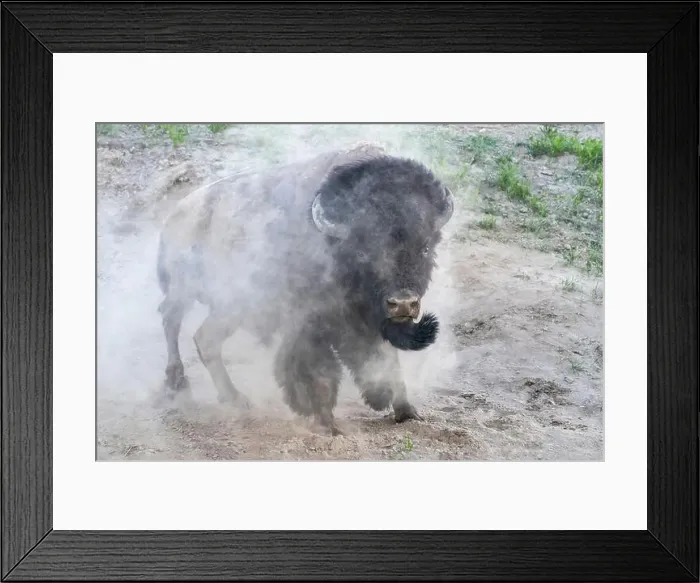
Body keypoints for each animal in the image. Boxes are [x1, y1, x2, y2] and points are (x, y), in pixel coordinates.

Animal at [156, 142, 455, 435]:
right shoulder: (313, 324)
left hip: (227, 307)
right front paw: (327, 425)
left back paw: (219, 394)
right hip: (201, 296)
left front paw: (408, 412)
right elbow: (320, 372)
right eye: (364, 252)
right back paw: (195, 387)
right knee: (179, 325)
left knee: (200, 335)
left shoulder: (370, 320)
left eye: (425, 247)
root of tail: (174, 217)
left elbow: (386, 361)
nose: (403, 303)